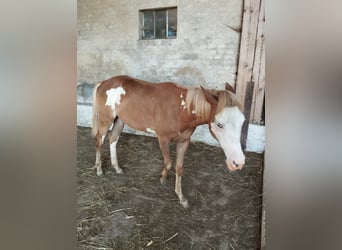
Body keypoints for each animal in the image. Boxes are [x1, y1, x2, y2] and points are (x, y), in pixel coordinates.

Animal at [91, 75, 246, 208]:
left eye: (243, 121)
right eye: (219, 124)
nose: (238, 163)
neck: (180, 110)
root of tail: (104, 83)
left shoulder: (184, 141)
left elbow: (179, 167)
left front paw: (181, 197)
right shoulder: (163, 138)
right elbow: (169, 162)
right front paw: (163, 178)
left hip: (120, 120)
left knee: (113, 138)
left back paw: (116, 167)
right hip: (106, 120)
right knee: (99, 140)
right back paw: (99, 169)